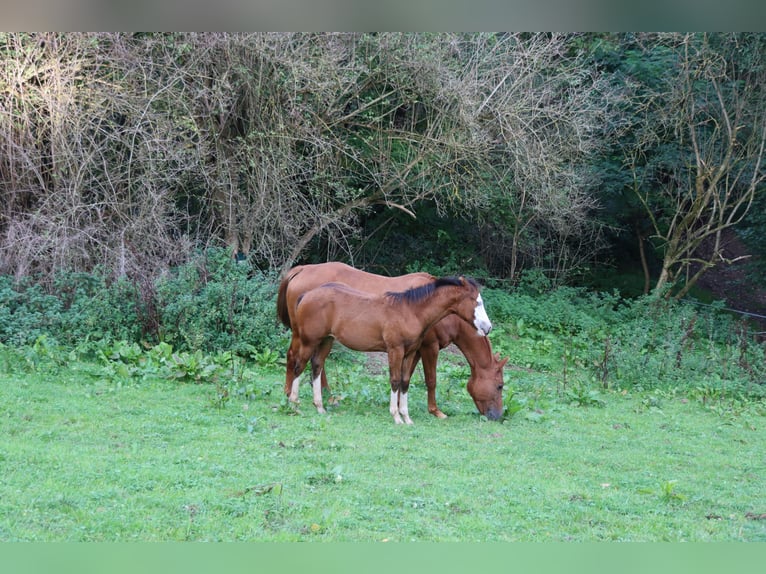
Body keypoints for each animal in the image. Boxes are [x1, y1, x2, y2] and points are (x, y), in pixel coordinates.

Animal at [278, 264, 510, 420]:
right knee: (295, 360)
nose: (498, 416)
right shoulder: (428, 347)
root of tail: (302, 270)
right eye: (499, 386)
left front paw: (402, 410)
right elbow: (429, 380)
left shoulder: (413, 350)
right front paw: (434, 411)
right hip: (304, 336)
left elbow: (406, 379)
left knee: (317, 364)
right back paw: (292, 398)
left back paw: (324, 400)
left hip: (325, 339)